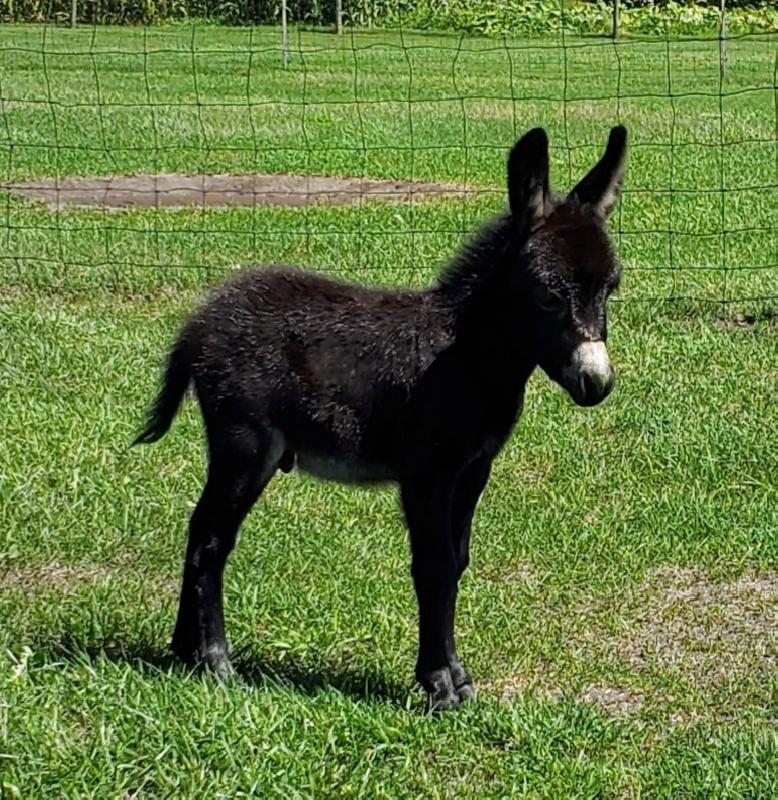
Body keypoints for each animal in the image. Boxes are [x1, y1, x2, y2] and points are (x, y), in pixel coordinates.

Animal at [135, 126, 624, 712]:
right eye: (549, 296)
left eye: (611, 289)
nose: (597, 383)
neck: (465, 354)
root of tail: (198, 323)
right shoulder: (427, 473)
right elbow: (433, 565)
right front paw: (438, 686)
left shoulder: (473, 470)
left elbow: (457, 561)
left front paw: (458, 677)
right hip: (245, 443)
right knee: (211, 539)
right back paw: (215, 661)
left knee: (198, 532)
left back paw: (184, 651)